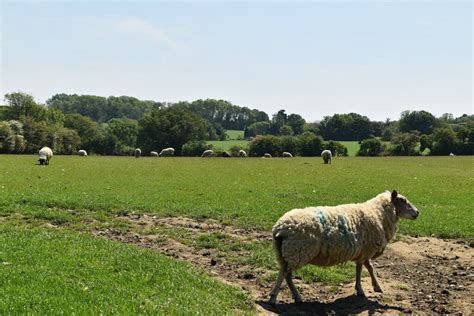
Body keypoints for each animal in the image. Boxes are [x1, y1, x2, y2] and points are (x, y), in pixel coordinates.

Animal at [268, 190, 420, 304]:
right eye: (403, 200)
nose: (417, 212)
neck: (379, 213)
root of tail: (280, 228)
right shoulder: (366, 249)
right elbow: (365, 268)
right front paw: (366, 288)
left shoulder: (362, 250)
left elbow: (365, 268)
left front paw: (369, 287)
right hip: (298, 251)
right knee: (284, 274)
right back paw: (274, 297)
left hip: (286, 254)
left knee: (287, 274)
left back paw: (297, 297)